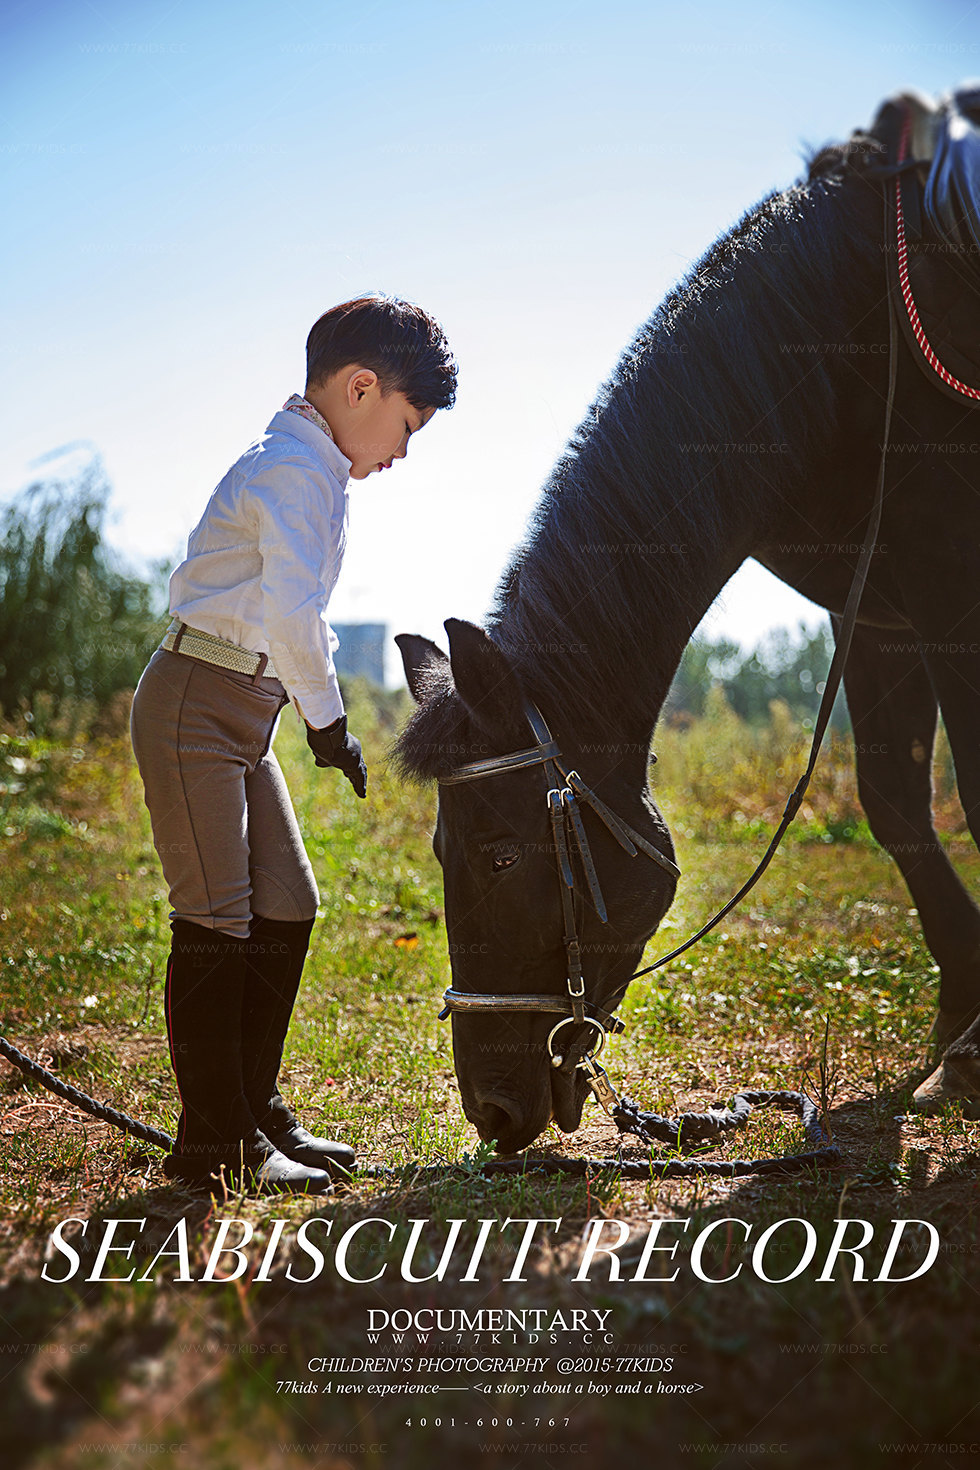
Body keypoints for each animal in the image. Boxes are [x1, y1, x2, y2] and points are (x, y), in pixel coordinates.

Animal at [393, 88, 980, 1158]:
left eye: (501, 854)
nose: (490, 1109)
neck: (848, 352)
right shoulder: (877, 610)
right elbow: (893, 802)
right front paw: (963, 1017)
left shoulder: (952, 589)